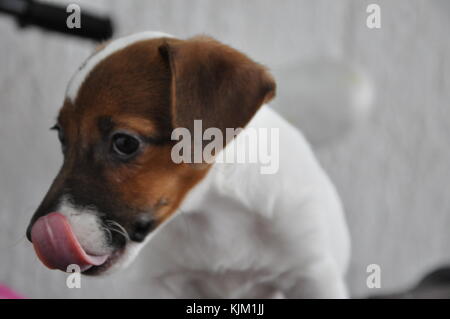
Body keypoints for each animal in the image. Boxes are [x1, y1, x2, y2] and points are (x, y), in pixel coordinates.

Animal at [26, 31, 352, 298]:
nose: (32, 235)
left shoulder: (312, 276)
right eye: (62, 137)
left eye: (125, 143)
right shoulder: (159, 284)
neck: (215, 213)